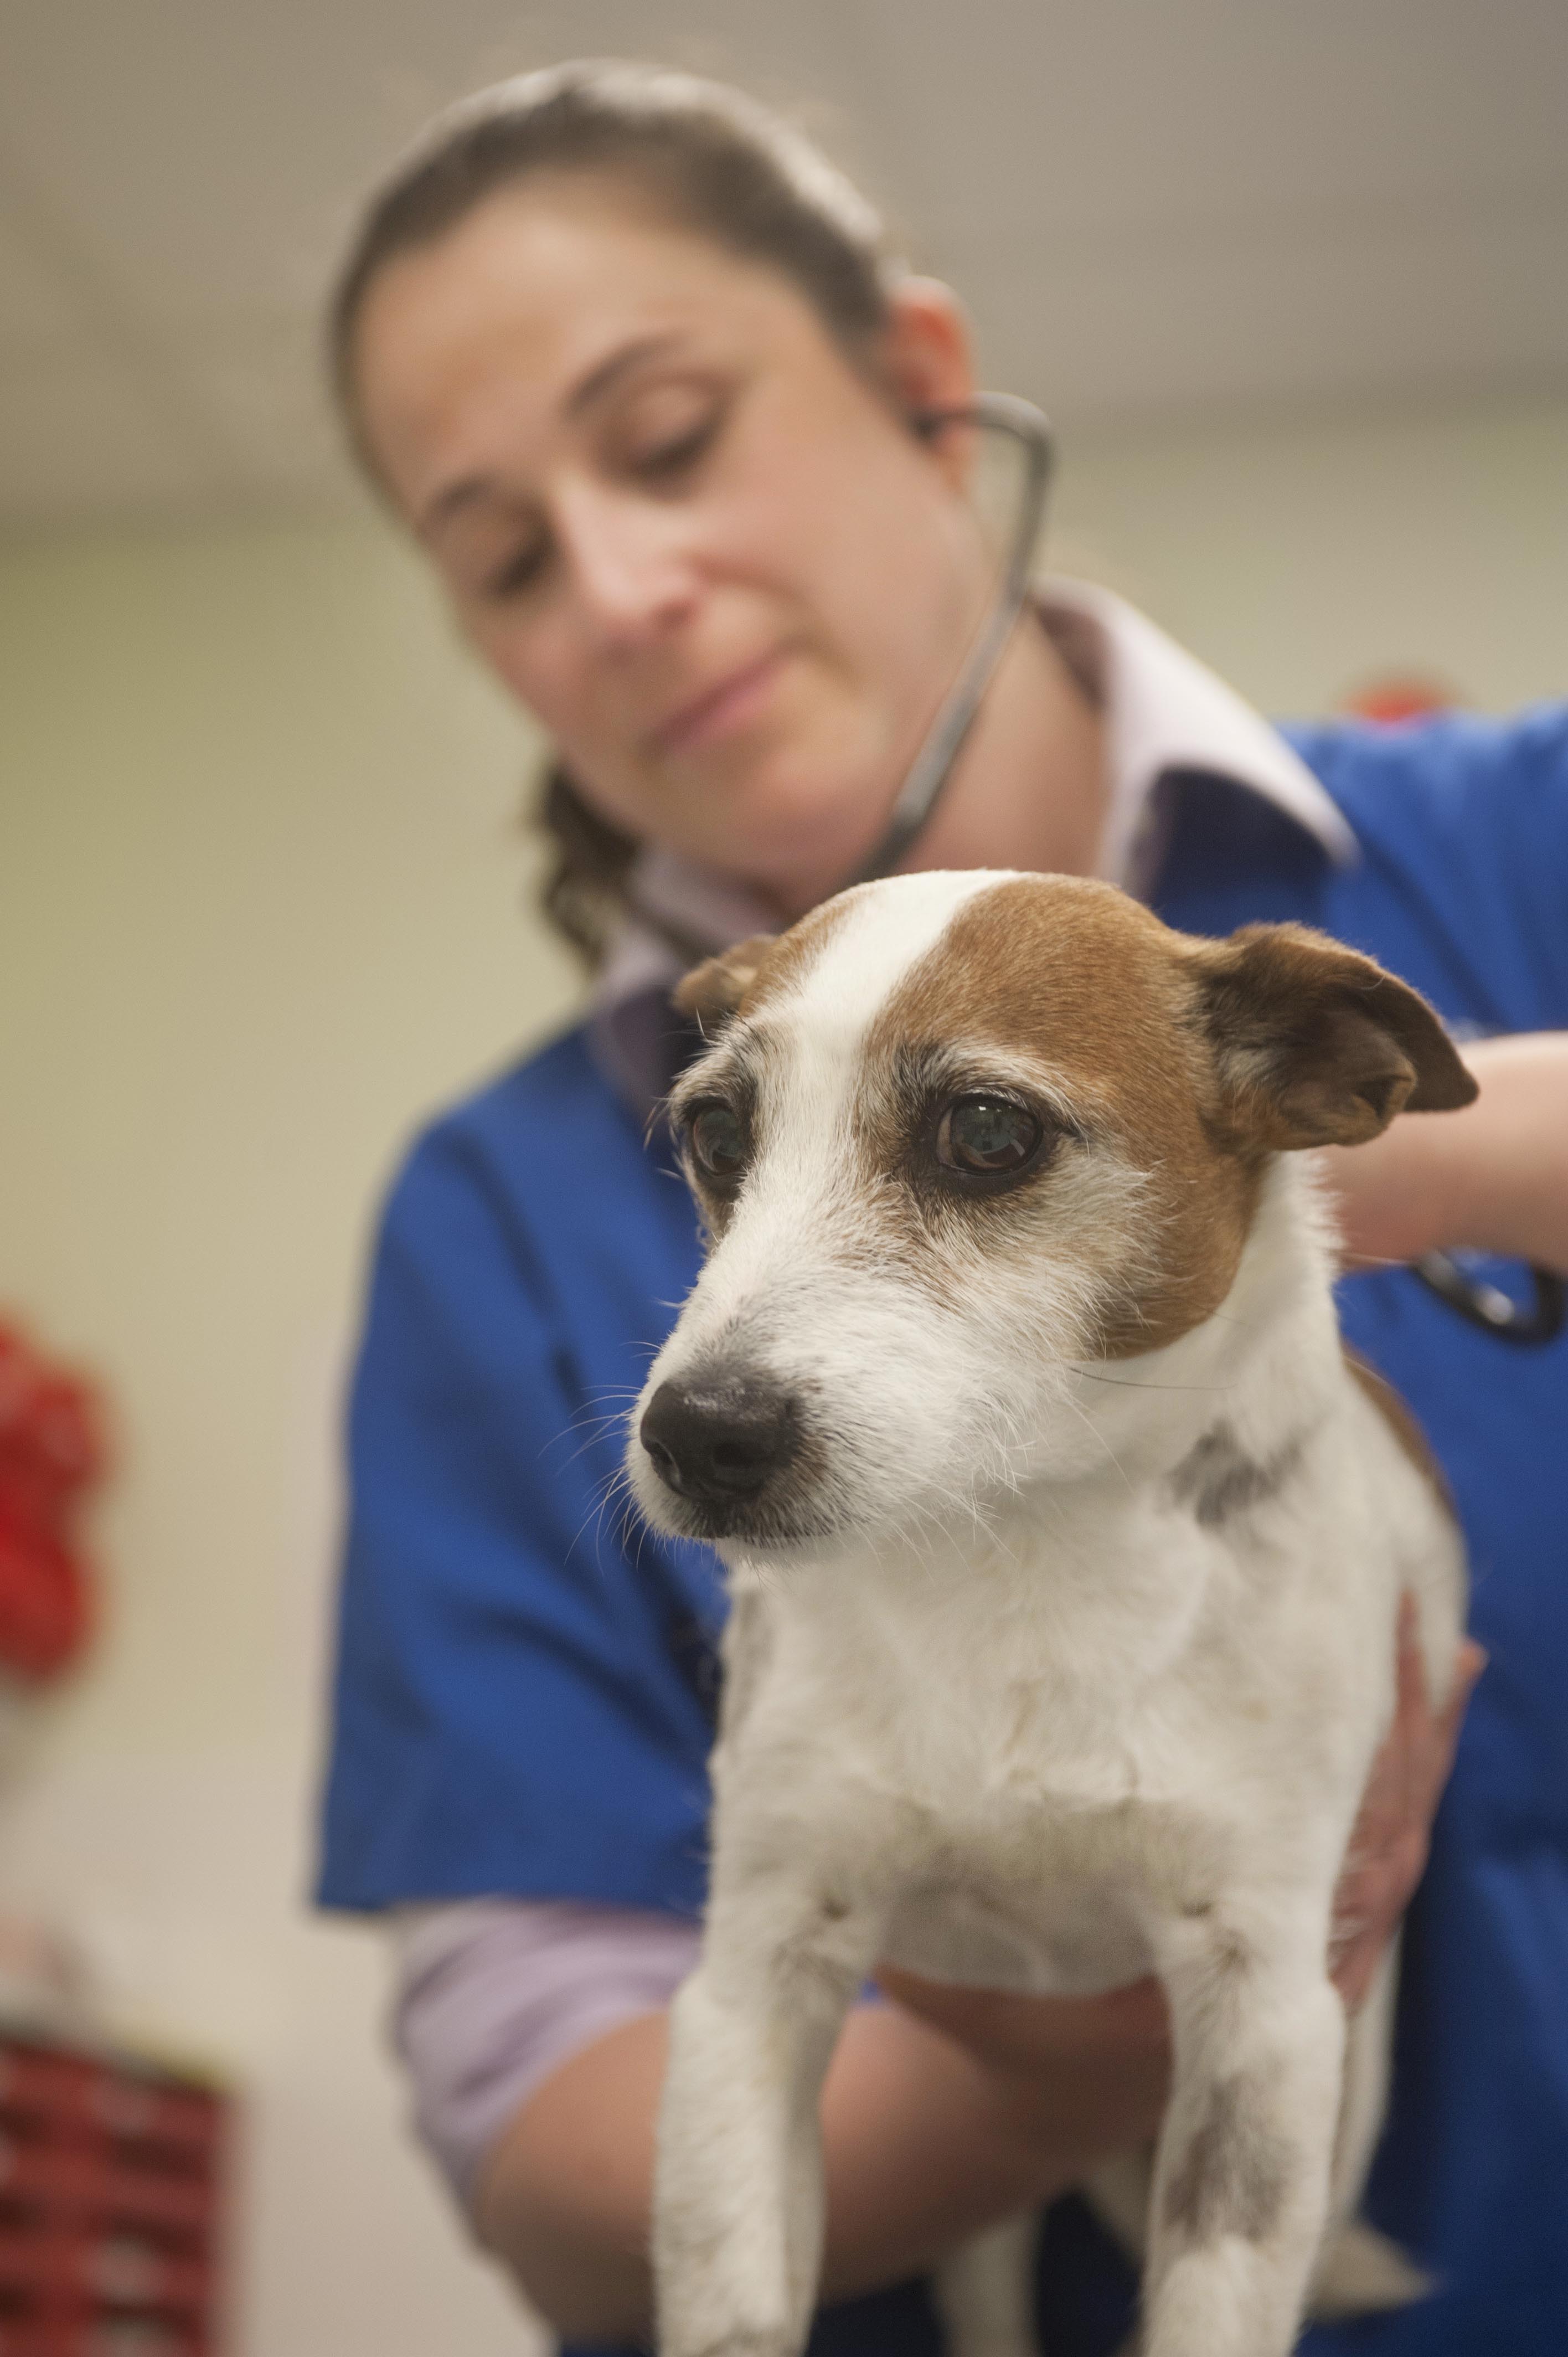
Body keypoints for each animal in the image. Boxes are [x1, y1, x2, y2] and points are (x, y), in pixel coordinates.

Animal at [622, 872, 1471, 2357]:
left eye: (984, 1131)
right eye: (717, 1134)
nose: (699, 1435)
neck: (1014, 1534)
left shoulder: (1261, 2013)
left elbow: (1214, 2307)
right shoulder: (755, 1979)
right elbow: (736, 2300)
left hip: (1348, 2087)